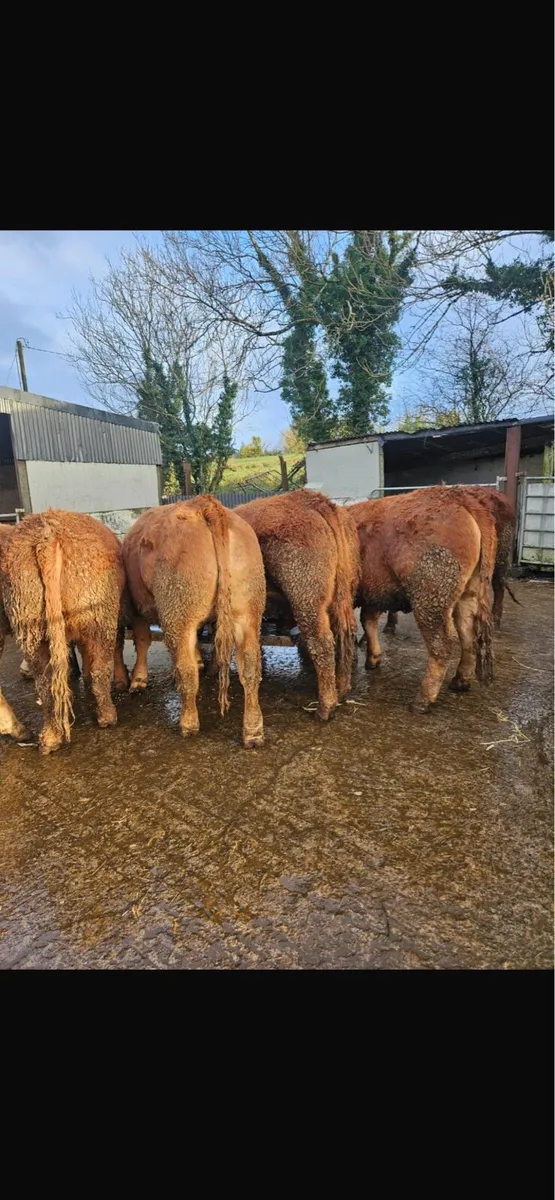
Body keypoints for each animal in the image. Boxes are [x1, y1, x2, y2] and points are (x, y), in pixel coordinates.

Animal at [0, 510, 130, 753]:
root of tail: (47, 536)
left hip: (29, 620)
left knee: (44, 680)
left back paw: (48, 737)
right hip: (99, 613)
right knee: (99, 667)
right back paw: (107, 716)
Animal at [122, 495, 265, 748]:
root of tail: (204, 504)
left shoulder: (137, 606)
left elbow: (142, 640)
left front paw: (138, 680)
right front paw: (200, 659)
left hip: (177, 609)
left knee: (185, 669)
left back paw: (188, 723)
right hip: (248, 609)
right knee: (250, 666)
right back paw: (253, 731)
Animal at [235, 489, 360, 721]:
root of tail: (313, 500)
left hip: (306, 595)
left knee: (322, 641)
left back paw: (326, 706)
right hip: (343, 593)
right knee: (346, 632)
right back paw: (342, 687)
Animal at [351, 487, 497, 713]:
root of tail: (457, 496)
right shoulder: (372, 592)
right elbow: (368, 620)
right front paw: (372, 658)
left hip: (429, 598)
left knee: (443, 644)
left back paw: (422, 700)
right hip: (468, 593)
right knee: (468, 634)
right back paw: (460, 681)